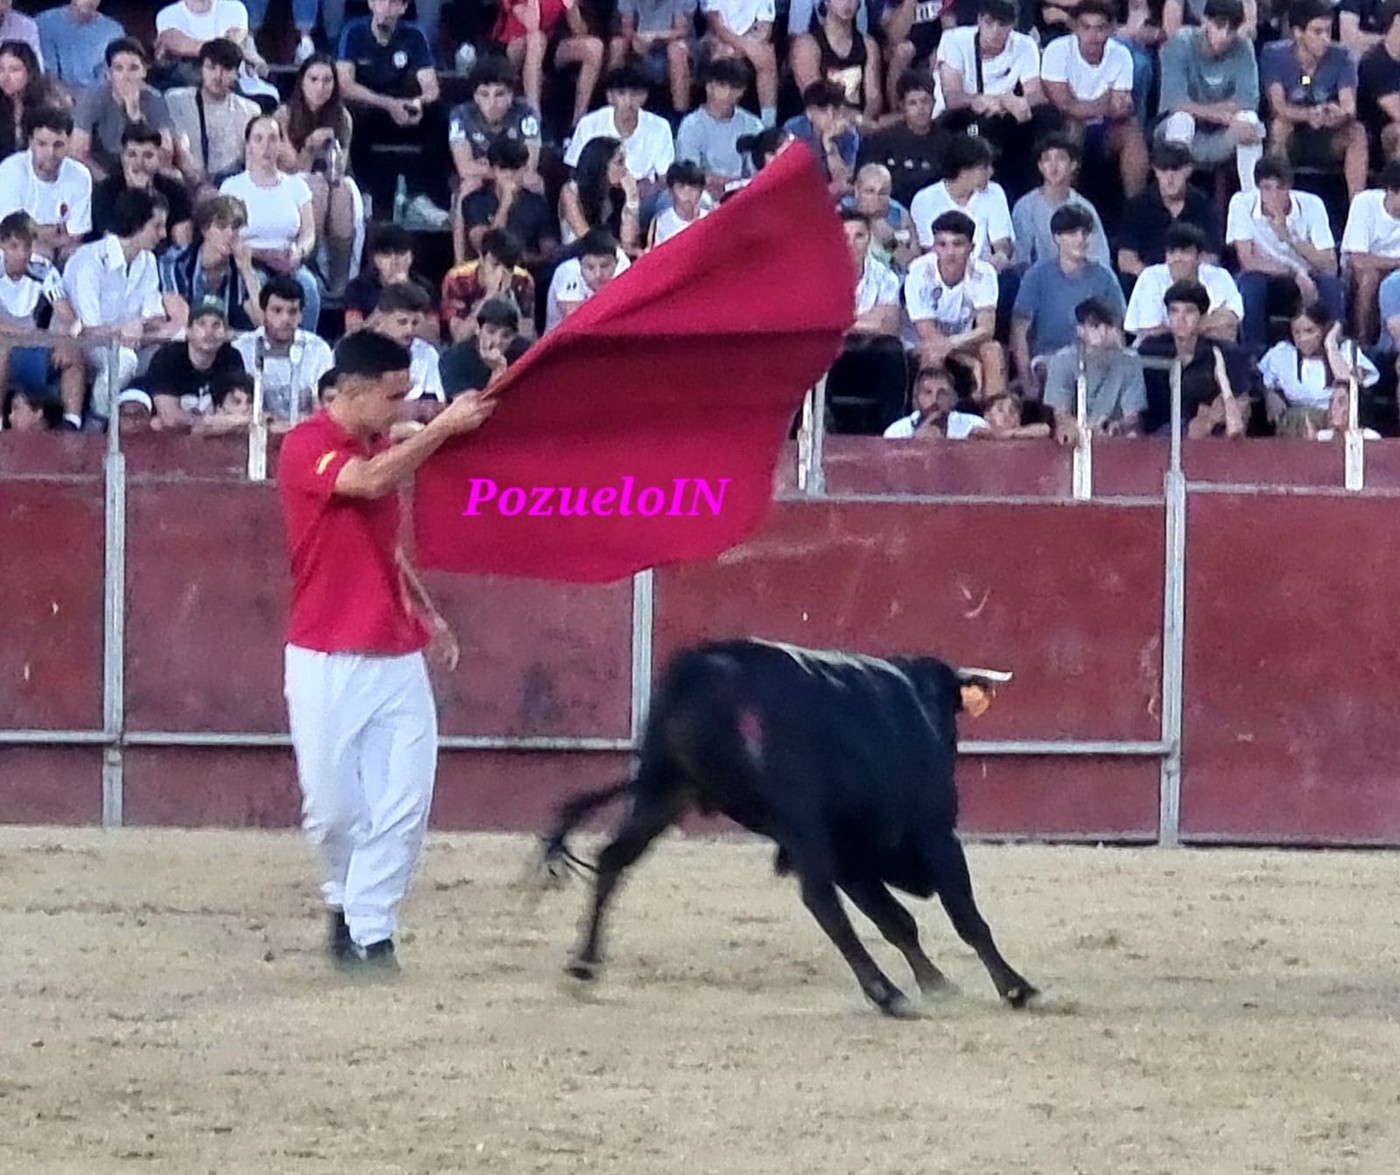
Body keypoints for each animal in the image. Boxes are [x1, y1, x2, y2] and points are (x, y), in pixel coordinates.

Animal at [534, 638, 1041, 1013]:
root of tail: (704, 672)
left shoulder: (852, 855)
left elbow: (897, 921)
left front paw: (937, 983)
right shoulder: (934, 834)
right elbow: (964, 916)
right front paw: (1016, 987)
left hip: (665, 791)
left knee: (614, 858)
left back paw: (583, 966)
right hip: (797, 818)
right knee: (819, 898)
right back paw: (886, 994)